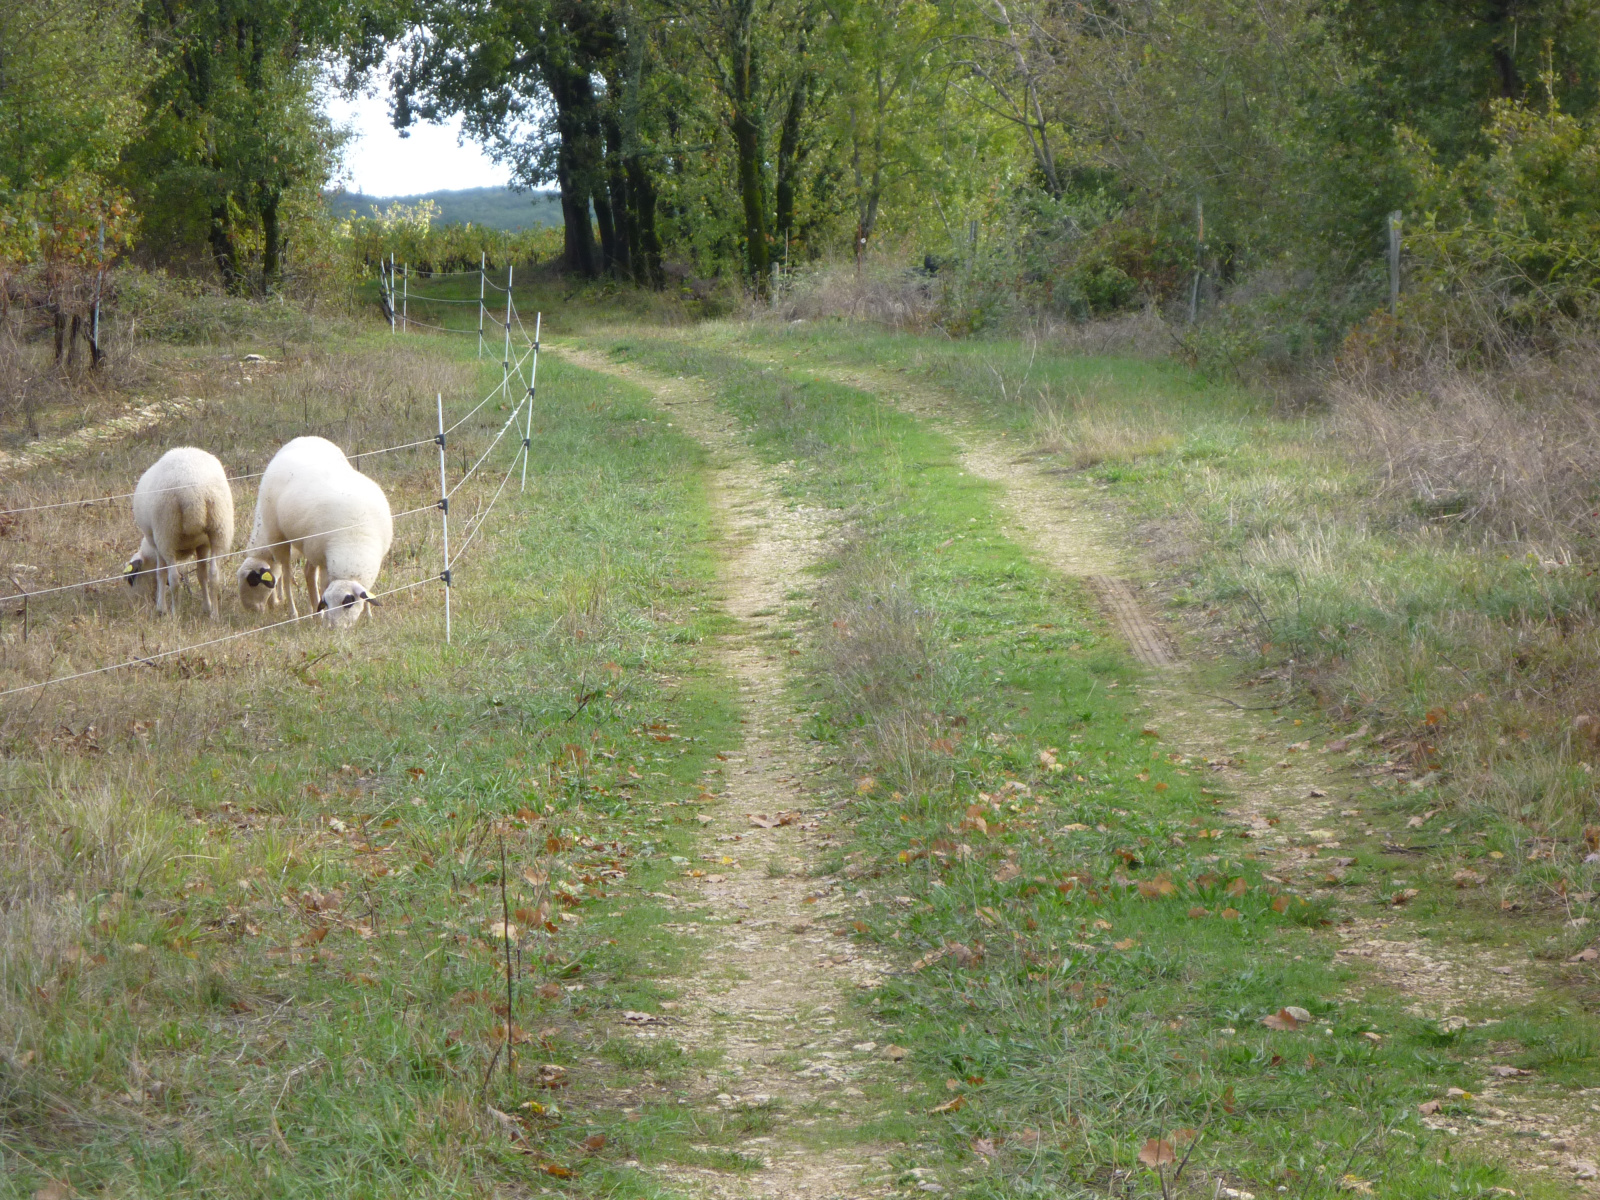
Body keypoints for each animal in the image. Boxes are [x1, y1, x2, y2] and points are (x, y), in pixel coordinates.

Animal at [123, 447, 234, 619]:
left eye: (132, 579)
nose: (134, 601)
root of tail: (192, 490)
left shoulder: (156, 545)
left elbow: (160, 573)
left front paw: (161, 608)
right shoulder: (202, 544)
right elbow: (201, 575)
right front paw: (206, 607)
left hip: (166, 532)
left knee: (174, 577)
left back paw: (174, 614)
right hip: (220, 526)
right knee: (214, 575)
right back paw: (214, 615)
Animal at [236, 436, 349, 615]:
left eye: (252, 580)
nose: (251, 610)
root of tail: (310, 437)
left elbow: (288, 575)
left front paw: (294, 611)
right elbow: (282, 574)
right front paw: (277, 600)